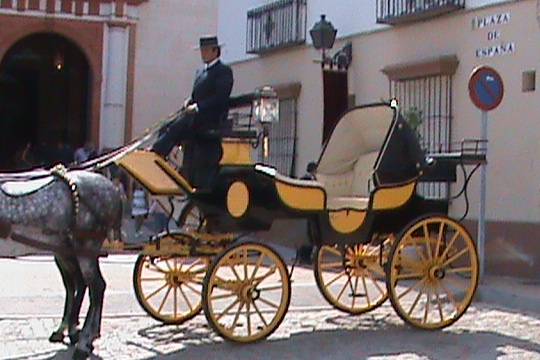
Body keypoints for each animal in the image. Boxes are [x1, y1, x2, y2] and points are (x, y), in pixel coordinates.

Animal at [0, 169, 122, 360]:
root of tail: (113, 190)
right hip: (65, 250)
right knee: (78, 285)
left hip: (85, 247)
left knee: (96, 287)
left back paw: (83, 344)